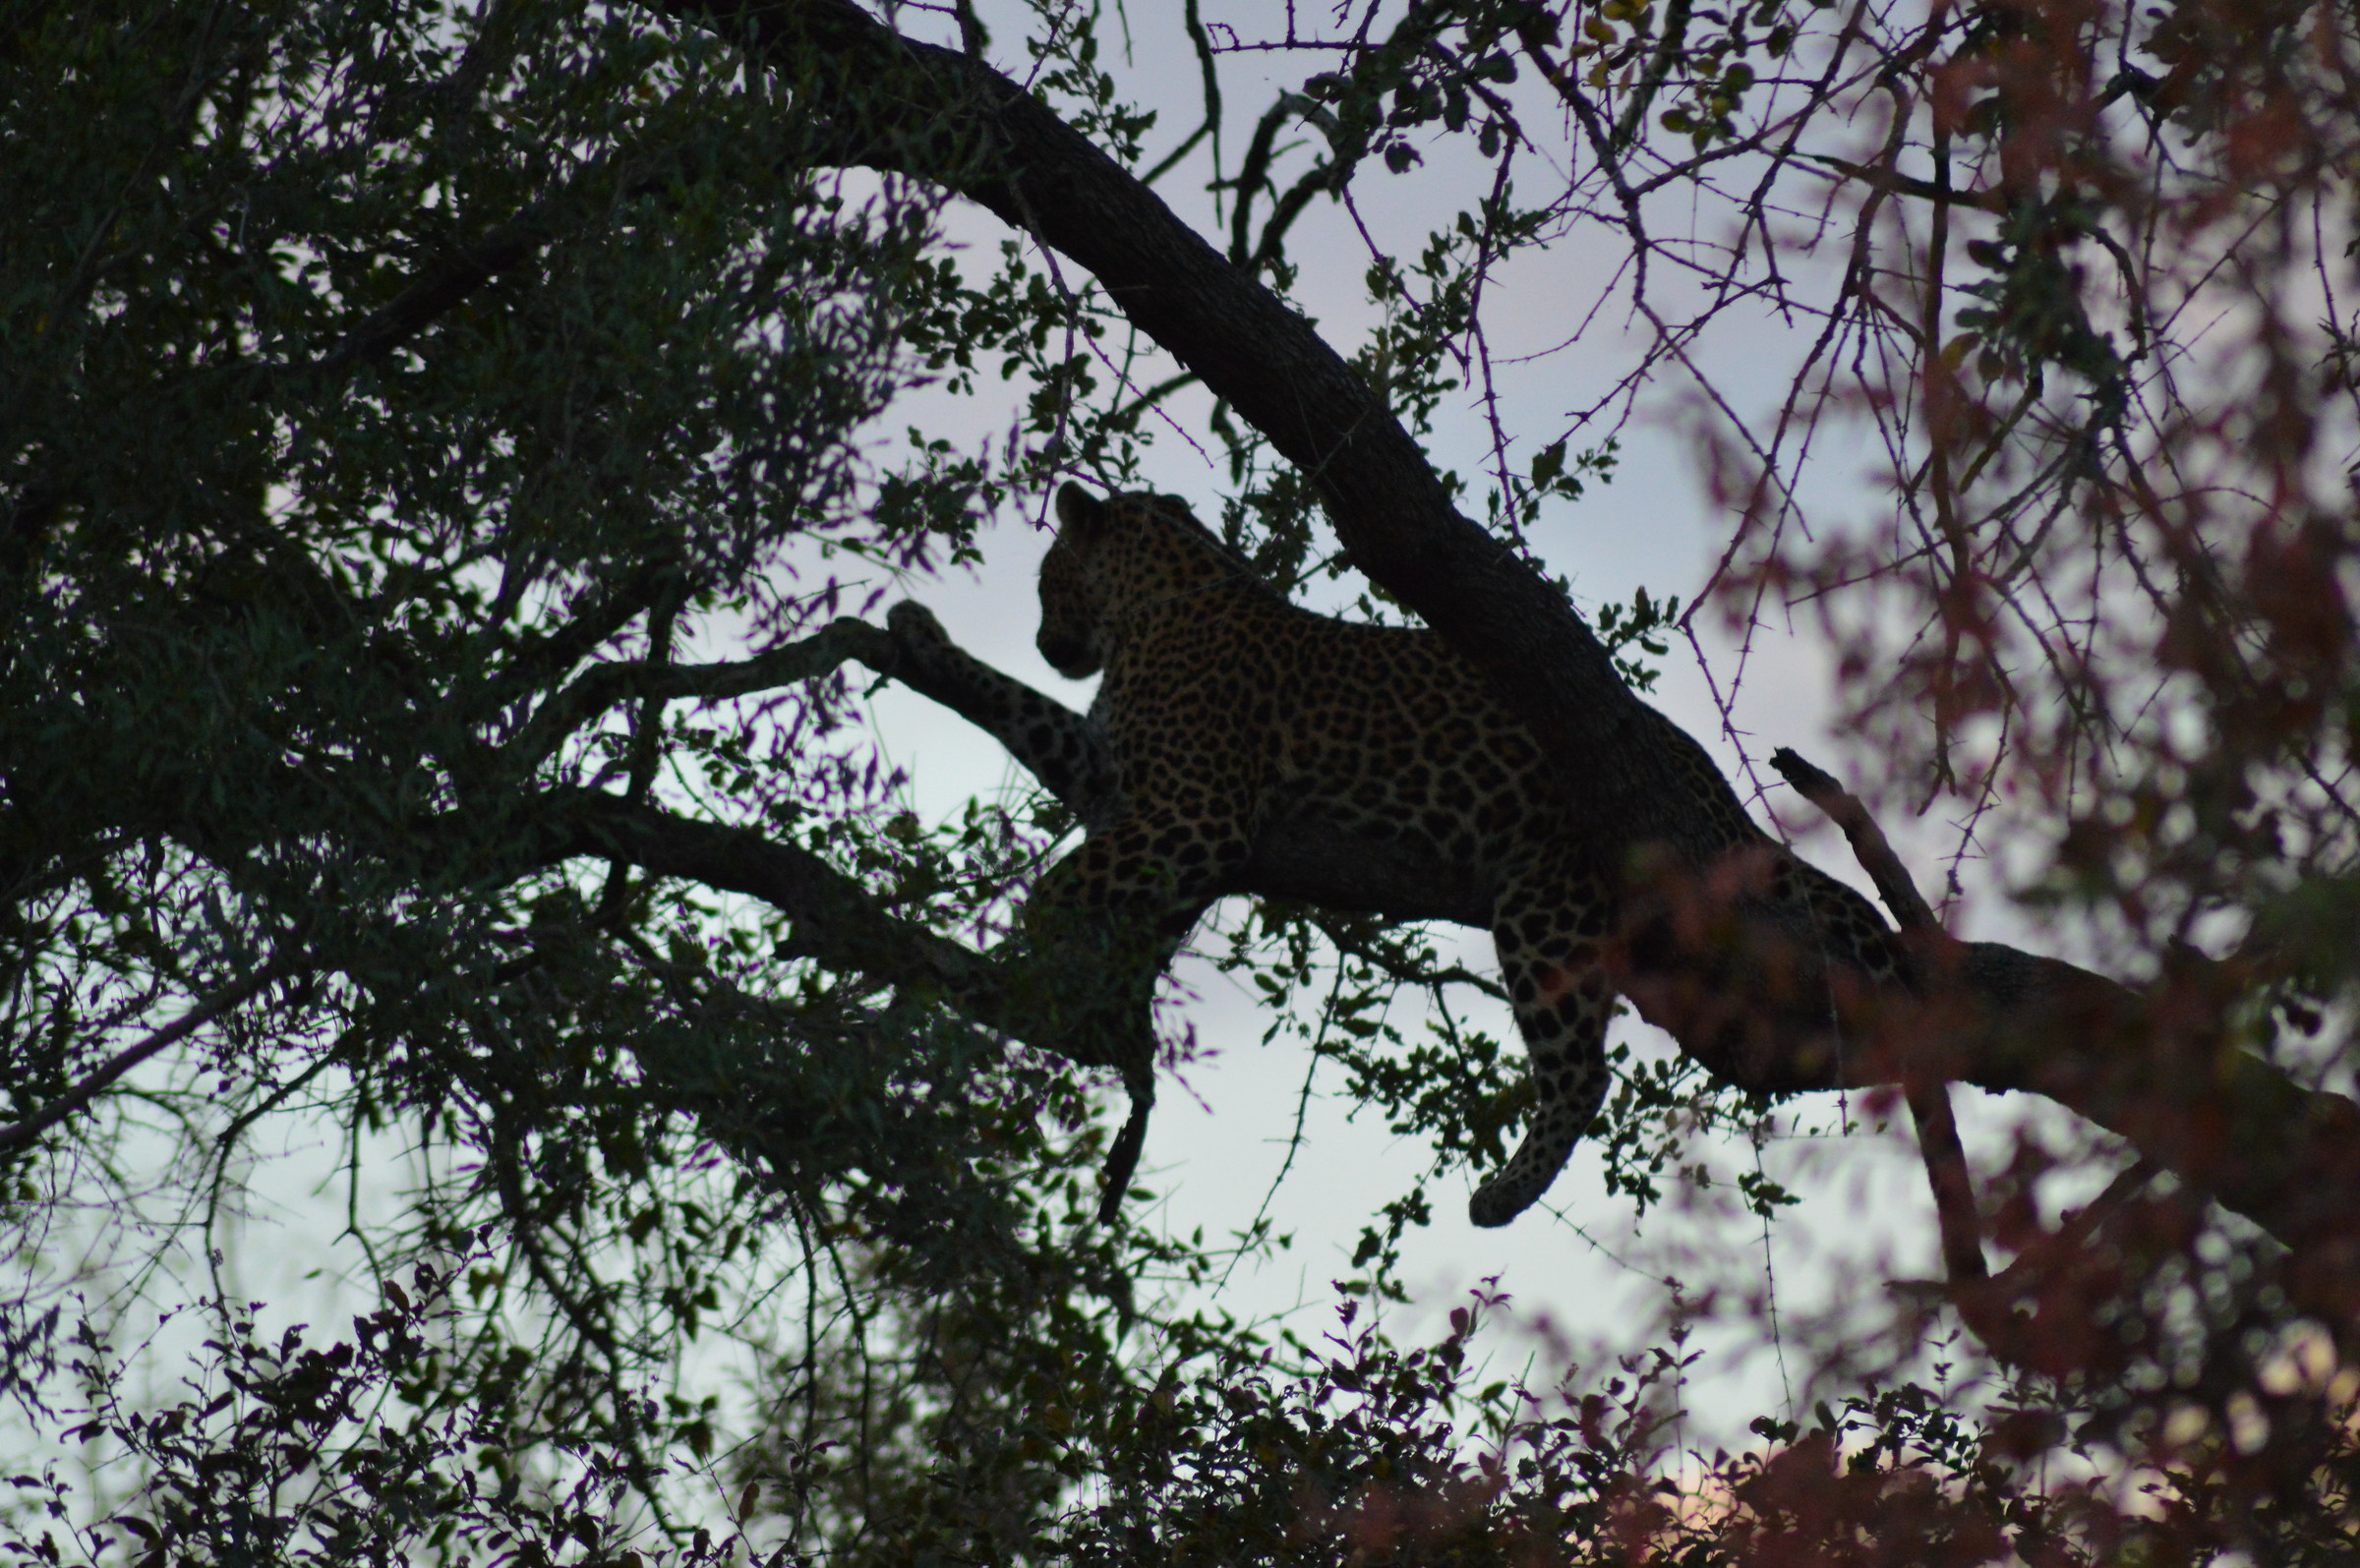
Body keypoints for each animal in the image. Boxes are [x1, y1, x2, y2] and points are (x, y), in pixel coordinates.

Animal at [1020, 482, 1904, 1227]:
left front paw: (1032, 951)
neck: (1153, 603)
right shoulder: (1144, 812)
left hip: (1546, 903)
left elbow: (1054, 883)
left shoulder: (1195, 813)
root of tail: (1708, 784)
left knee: (1581, 1072)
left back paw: (1504, 1193)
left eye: (1043, 580)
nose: (1039, 642)